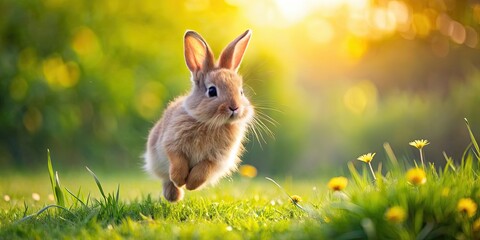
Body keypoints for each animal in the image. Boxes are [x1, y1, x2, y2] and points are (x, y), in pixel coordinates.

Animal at [143, 30, 253, 202]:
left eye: (241, 92)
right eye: (212, 91)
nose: (234, 107)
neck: (211, 123)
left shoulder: (216, 158)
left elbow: (203, 170)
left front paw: (191, 184)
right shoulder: (172, 144)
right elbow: (177, 161)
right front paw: (180, 180)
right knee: (167, 179)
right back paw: (173, 195)